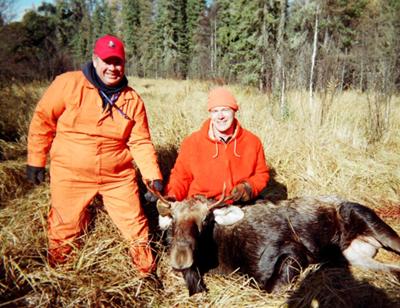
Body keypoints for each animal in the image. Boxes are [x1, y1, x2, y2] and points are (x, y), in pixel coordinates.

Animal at [155, 195, 400, 296]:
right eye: (173, 218)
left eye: (206, 219)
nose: (180, 258)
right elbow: (194, 285)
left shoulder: (294, 252)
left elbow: (271, 288)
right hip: (355, 256)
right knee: (393, 269)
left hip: (369, 220)